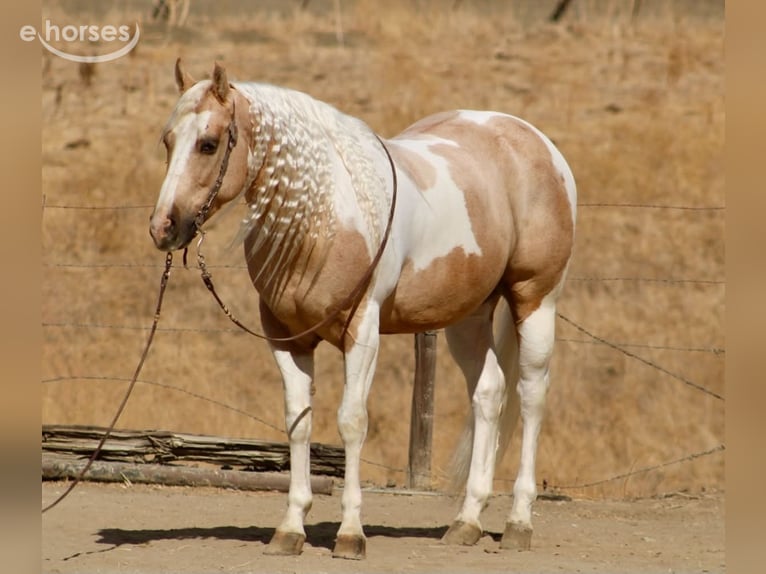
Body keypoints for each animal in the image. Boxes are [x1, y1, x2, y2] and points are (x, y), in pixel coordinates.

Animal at [149, 60, 577, 560]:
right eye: (168, 140)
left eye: (208, 143)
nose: (162, 227)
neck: (324, 219)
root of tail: (536, 143)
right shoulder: (285, 337)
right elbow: (298, 422)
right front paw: (290, 528)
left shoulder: (363, 332)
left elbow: (352, 422)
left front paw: (351, 533)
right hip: (469, 316)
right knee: (489, 393)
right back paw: (466, 521)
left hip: (535, 299)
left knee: (531, 395)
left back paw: (518, 522)